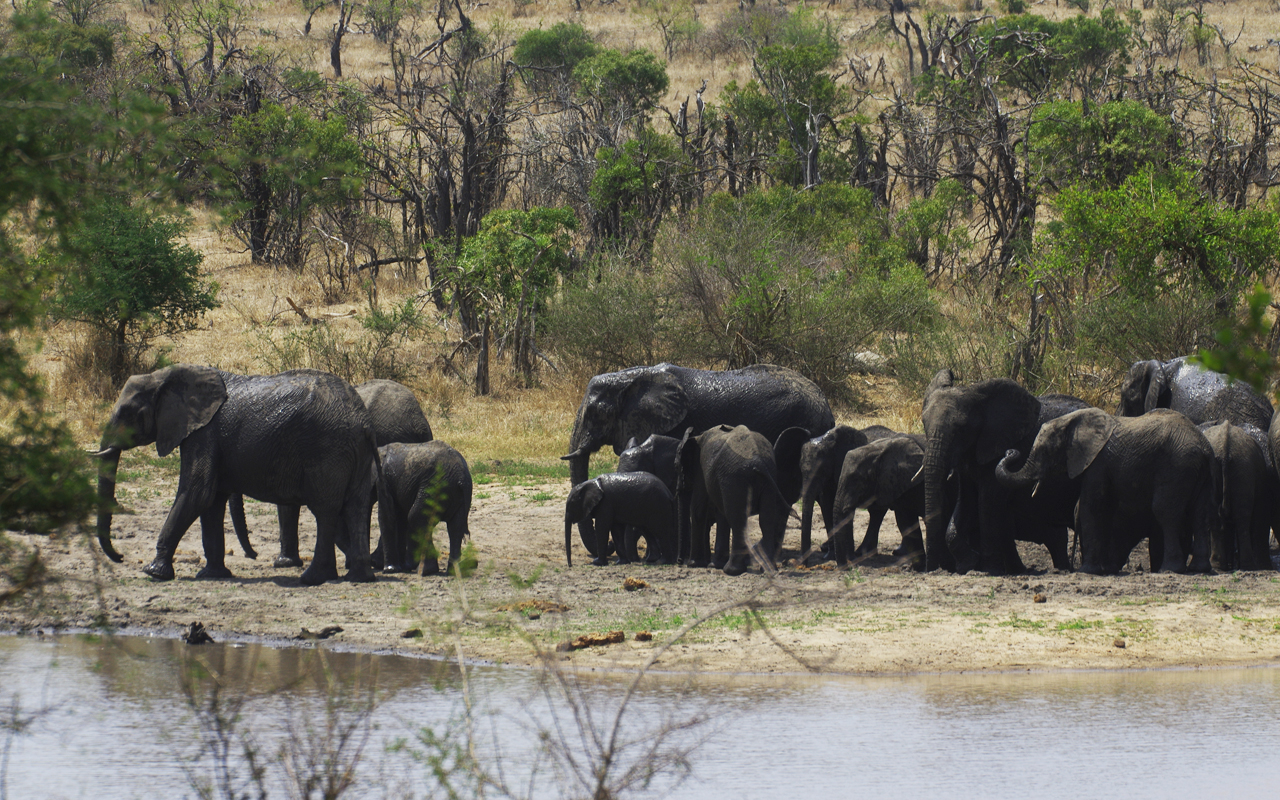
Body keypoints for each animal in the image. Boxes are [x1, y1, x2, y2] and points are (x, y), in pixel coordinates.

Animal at [92, 366, 376, 583]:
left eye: (127, 413)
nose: (120, 557)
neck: (165, 375)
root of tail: (362, 420)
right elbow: (212, 502)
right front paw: (212, 575)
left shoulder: (203, 433)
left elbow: (197, 493)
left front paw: (153, 572)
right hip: (353, 451)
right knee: (356, 507)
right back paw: (359, 577)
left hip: (327, 448)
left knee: (326, 510)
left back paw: (313, 578)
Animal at [376, 440, 473, 576]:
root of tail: (461, 477)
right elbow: (399, 518)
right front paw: (402, 567)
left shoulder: (383, 478)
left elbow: (387, 515)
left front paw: (390, 570)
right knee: (455, 528)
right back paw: (452, 572)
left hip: (433, 488)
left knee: (416, 518)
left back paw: (425, 571)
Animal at [921, 368, 1090, 573]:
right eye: (924, 424)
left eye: (962, 429)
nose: (933, 570)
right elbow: (966, 500)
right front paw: (968, 563)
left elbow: (988, 502)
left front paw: (989, 569)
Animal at [993, 409, 1213, 570]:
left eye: (1045, 450)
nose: (1011, 450)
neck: (1072, 420)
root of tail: (1203, 446)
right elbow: (1105, 509)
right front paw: (1104, 569)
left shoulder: (1097, 463)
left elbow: (1092, 506)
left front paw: (1087, 571)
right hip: (1202, 471)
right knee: (1201, 515)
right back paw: (1199, 569)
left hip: (1177, 466)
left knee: (1165, 512)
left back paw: (1170, 569)